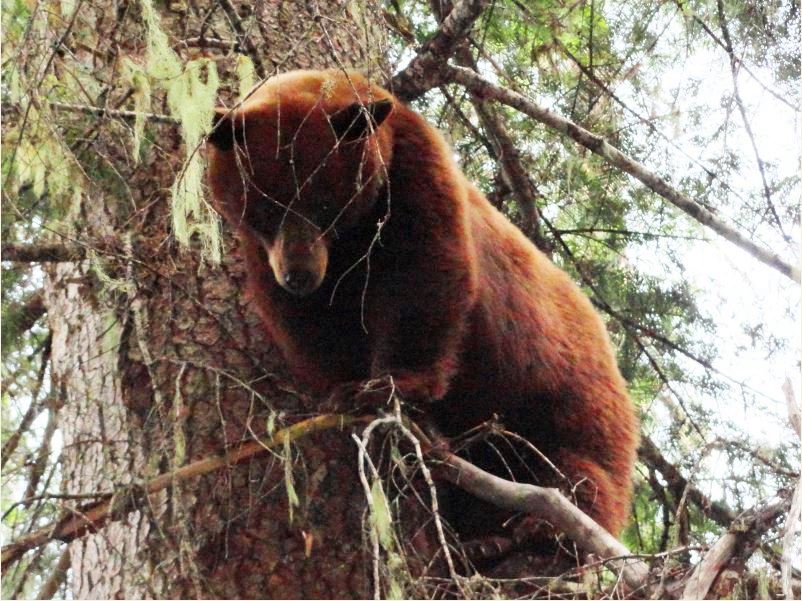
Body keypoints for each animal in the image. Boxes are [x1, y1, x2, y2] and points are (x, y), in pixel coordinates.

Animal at [206, 68, 636, 564]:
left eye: (324, 204)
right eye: (264, 207)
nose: (299, 275)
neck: (351, 243)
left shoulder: (412, 177)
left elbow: (423, 280)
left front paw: (385, 385)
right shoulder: (267, 255)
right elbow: (311, 326)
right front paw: (340, 386)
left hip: (567, 404)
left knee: (578, 476)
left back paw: (536, 533)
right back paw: (485, 540)